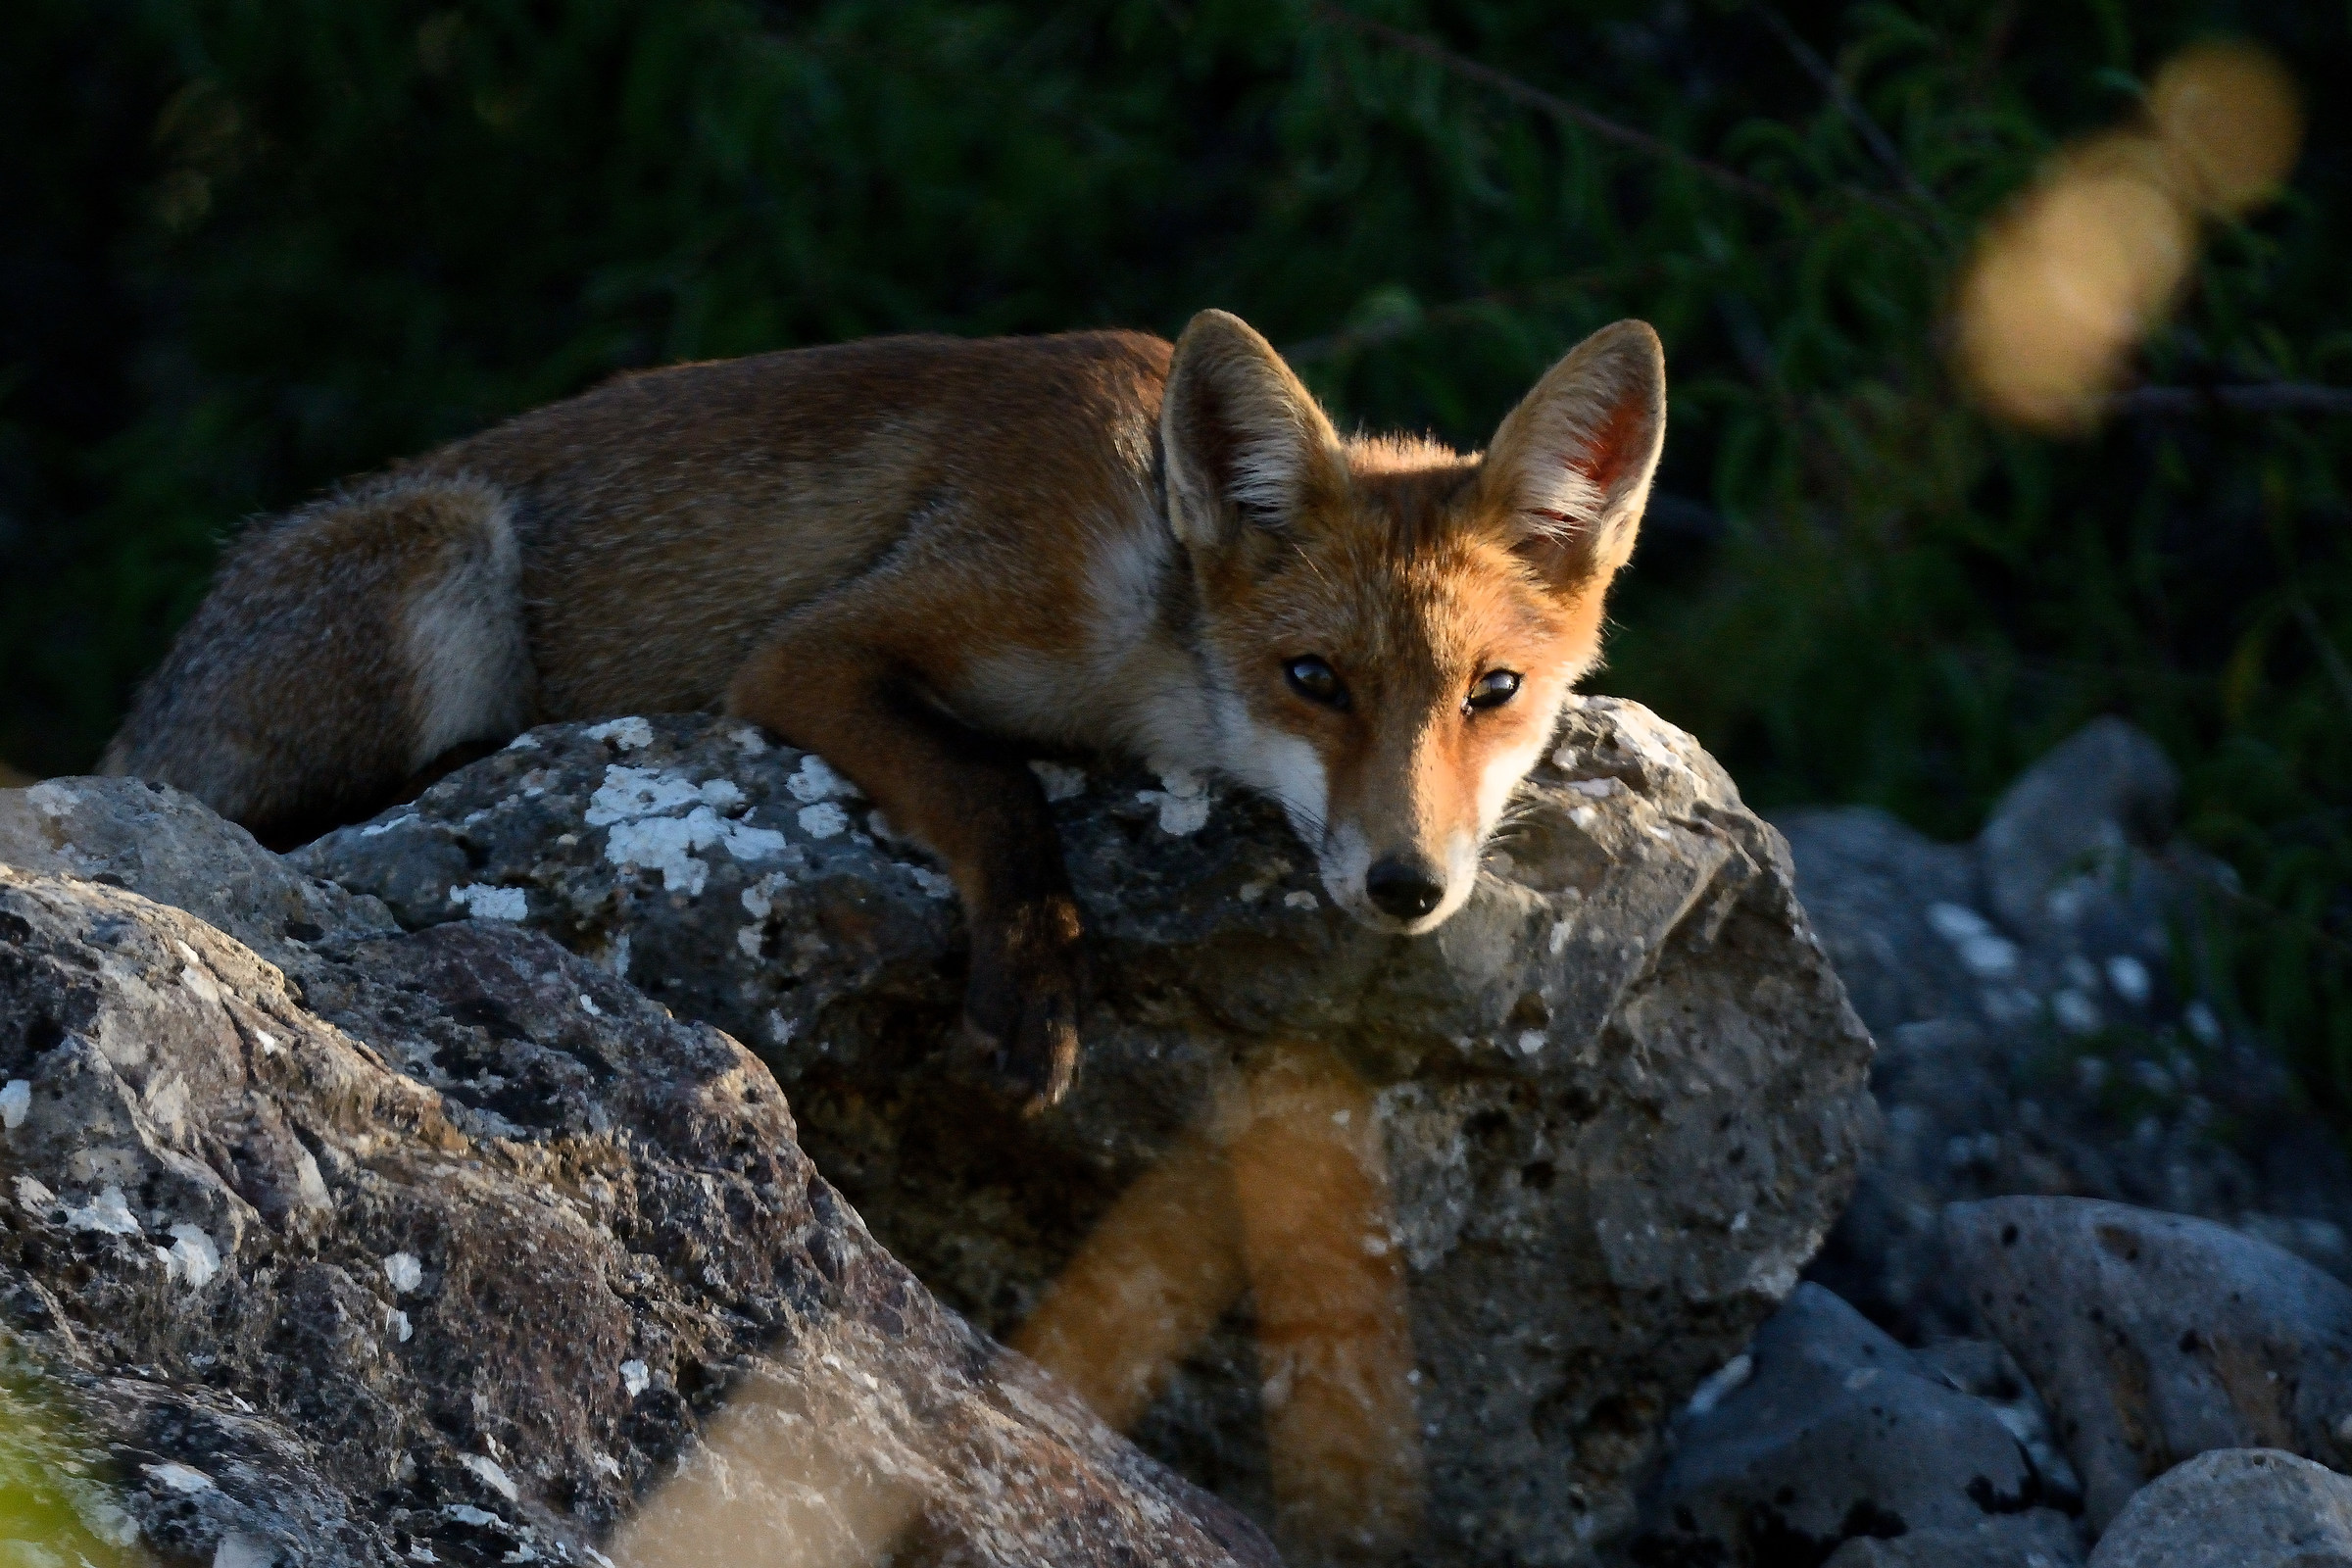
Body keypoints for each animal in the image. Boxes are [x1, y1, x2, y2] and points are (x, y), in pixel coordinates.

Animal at [104, 310, 1665, 1111]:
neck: (1144, 626)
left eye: (1494, 691)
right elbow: (997, 788)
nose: (1407, 886)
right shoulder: (818, 650)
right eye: (1315, 680)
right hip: (446, 560)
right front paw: (1035, 984)